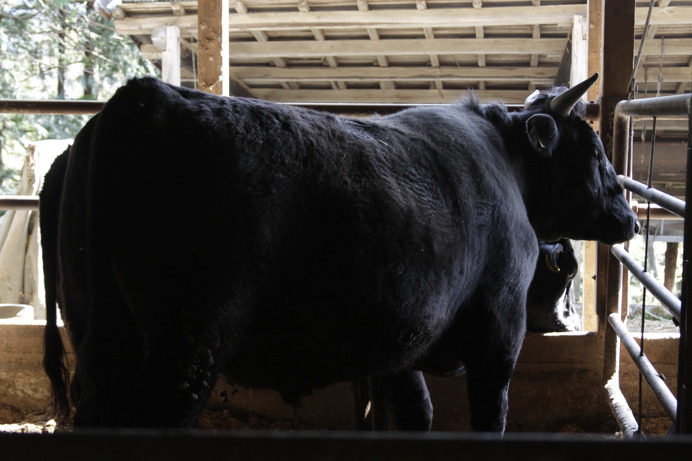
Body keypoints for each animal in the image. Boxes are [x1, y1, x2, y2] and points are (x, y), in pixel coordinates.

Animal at [42, 73, 636, 430]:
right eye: (595, 150)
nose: (631, 218)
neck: (506, 164)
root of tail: (145, 95)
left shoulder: (401, 346)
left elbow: (416, 414)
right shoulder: (498, 337)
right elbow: (488, 417)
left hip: (103, 339)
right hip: (187, 347)